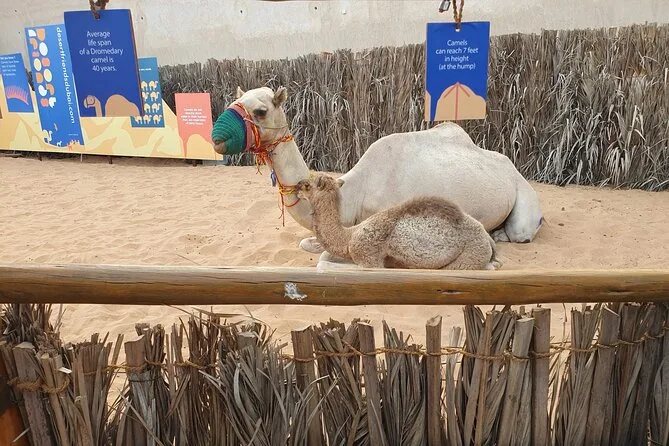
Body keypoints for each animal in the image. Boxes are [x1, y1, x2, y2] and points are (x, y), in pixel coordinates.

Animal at [295, 174, 499, 270]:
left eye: (307, 185)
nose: (296, 187)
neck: (349, 236)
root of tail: (488, 239)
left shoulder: (369, 257)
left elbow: (323, 265)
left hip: (469, 256)